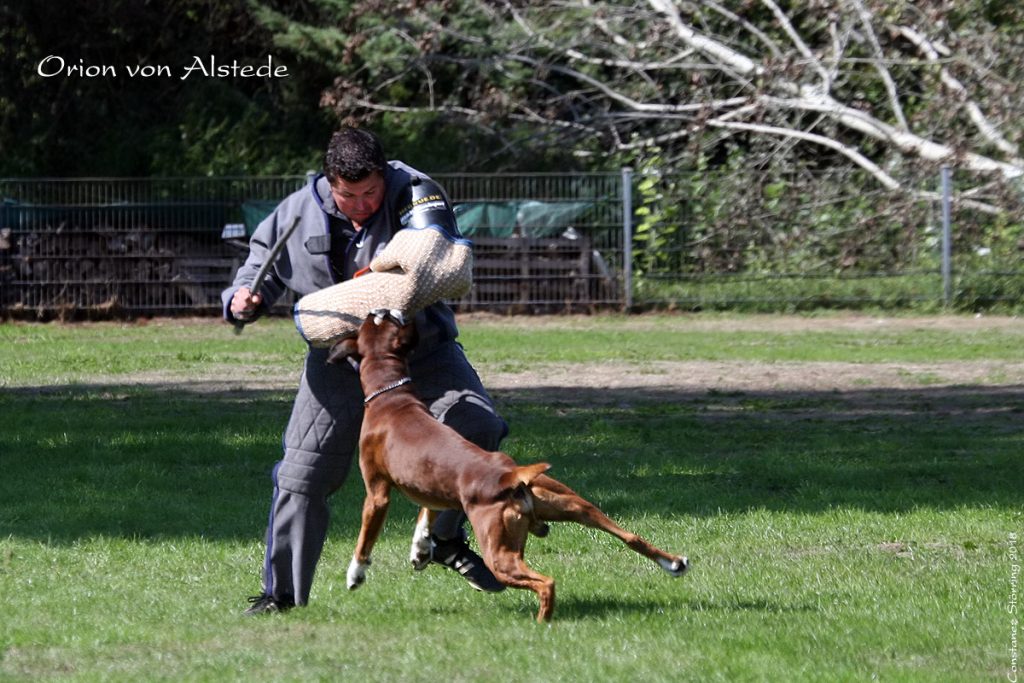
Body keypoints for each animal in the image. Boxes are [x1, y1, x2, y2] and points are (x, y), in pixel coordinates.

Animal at [327, 313, 688, 622]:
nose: (383, 309)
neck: (392, 396)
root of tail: (509, 476)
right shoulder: (432, 491)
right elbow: (426, 515)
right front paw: (420, 548)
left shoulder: (377, 494)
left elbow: (365, 539)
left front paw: (355, 574)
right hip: (574, 505)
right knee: (630, 536)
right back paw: (673, 563)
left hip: (499, 554)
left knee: (546, 582)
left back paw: (543, 624)